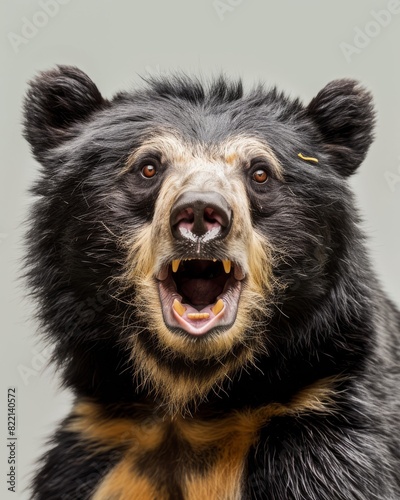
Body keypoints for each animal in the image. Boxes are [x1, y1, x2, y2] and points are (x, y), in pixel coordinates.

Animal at [23, 64, 400, 498]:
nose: (201, 211)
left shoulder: (326, 437)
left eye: (260, 173)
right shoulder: (97, 452)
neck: (194, 405)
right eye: (148, 167)